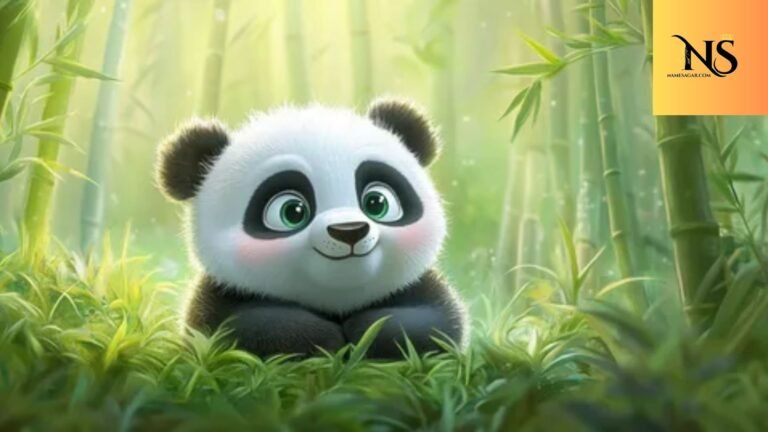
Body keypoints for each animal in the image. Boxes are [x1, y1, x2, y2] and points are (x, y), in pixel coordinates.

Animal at [155, 98, 468, 359]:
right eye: (291, 212)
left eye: (377, 202)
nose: (349, 230)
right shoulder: (217, 296)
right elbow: (236, 329)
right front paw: (323, 338)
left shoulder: (418, 287)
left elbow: (435, 322)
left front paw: (366, 330)